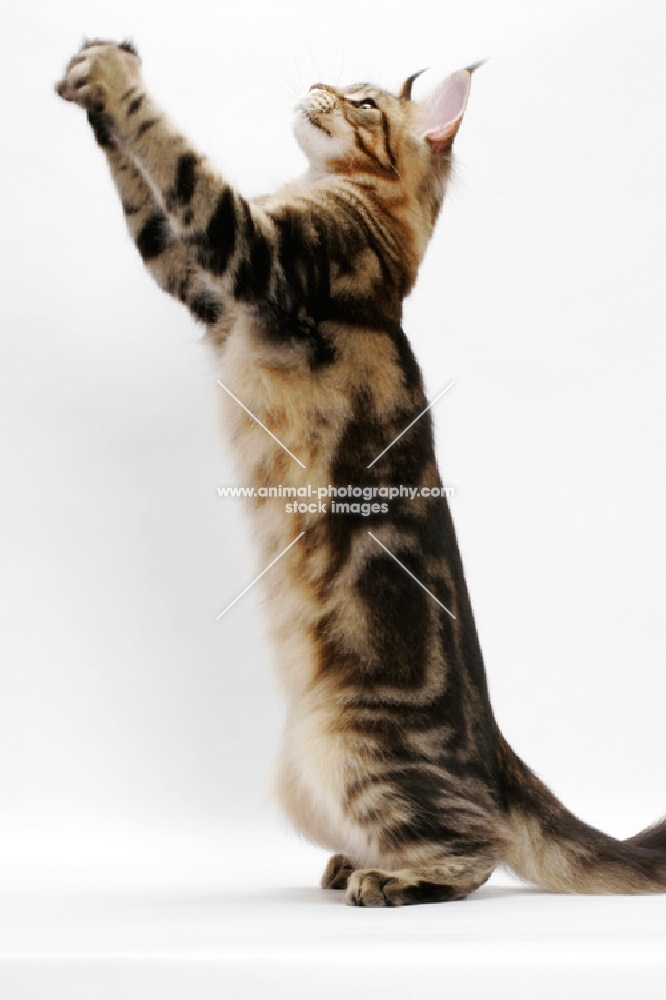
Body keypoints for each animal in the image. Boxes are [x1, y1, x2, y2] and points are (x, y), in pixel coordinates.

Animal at [57, 41, 664, 908]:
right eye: (345, 86)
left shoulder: (260, 255)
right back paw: (352, 861)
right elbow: (147, 197)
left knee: (476, 854)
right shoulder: (200, 283)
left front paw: (114, 76)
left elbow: (178, 161)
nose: (318, 84)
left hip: (349, 743)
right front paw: (93, 79)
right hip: (302, 772)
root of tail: (495, 746)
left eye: (365, 102)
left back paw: (390, 879)